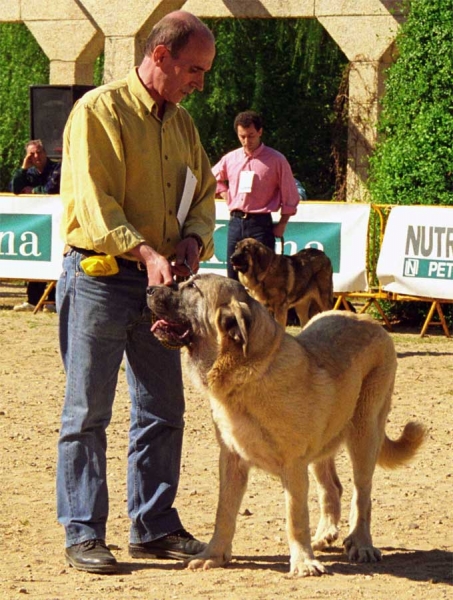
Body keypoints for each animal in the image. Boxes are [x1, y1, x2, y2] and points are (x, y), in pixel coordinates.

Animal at [147, 276, 424, 576]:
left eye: (192, 287)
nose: (149, 288)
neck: (248, 372)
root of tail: (368, 319)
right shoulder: (231, 461)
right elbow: (224, 513)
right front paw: (213, 555)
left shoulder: (293, 465)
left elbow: (295, 517)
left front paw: (303, 562)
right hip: (322, 446)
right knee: (333, 487)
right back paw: (324, 534)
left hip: (365, 433)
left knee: (362, 494)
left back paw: (361, 544)